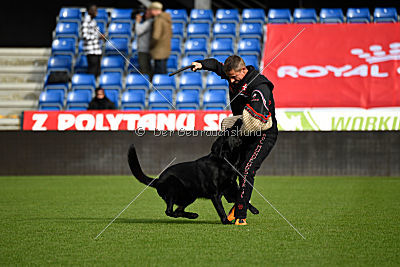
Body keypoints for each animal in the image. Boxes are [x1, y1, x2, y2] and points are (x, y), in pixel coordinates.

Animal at [128, 125, 260, 224]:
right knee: (169, 211)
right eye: (231, 133)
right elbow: (221, 210)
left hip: (190, 196)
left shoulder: (230, 191)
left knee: (177, 211)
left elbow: (242, 199)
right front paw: (226, 221)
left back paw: (192, 215)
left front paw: (254, 209)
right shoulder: (215, 195)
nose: (233, 124)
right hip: (174, 187)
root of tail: (158, 180)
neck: (224, 162)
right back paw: (190, 215)